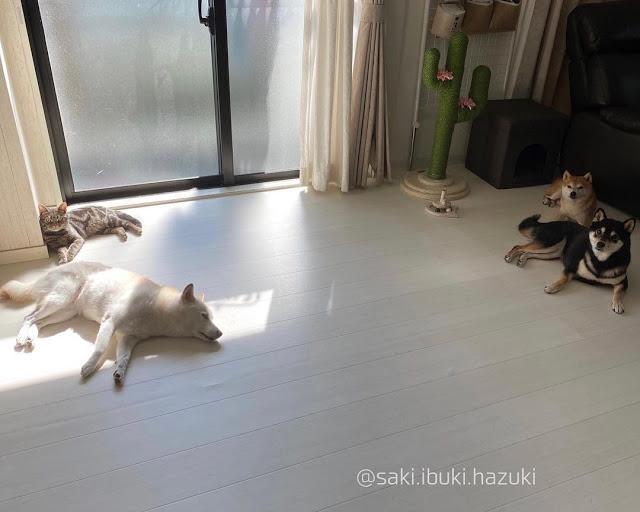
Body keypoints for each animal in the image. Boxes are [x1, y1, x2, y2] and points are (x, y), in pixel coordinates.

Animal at [0, 261, 222, 384]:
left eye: (211, 317)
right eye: (204, 316)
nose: (220, 333)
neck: (156, 310)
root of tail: (47, 273)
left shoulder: (127, 338)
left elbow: (124, 358)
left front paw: (119, 372)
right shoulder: (110, 322)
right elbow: (100, 349)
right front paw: (89, 367)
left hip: (65, 312)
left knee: (38, 322)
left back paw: (30, 337)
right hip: (60, 300)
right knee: (29, 317)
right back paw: (21, 337)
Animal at [505, 208, 635, 314]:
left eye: (614, 237)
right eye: (598, 232)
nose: (600, 244)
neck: (600, 260)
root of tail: (547, 223)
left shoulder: (622, 282)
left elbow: (618, 293)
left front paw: (618, 304)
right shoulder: (570, 268)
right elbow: (563, 279)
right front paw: (552, 287)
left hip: (552, 252)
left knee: (528, 252)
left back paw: (522, 259)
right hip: (549, 243)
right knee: (518, 247)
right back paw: (510, 256)